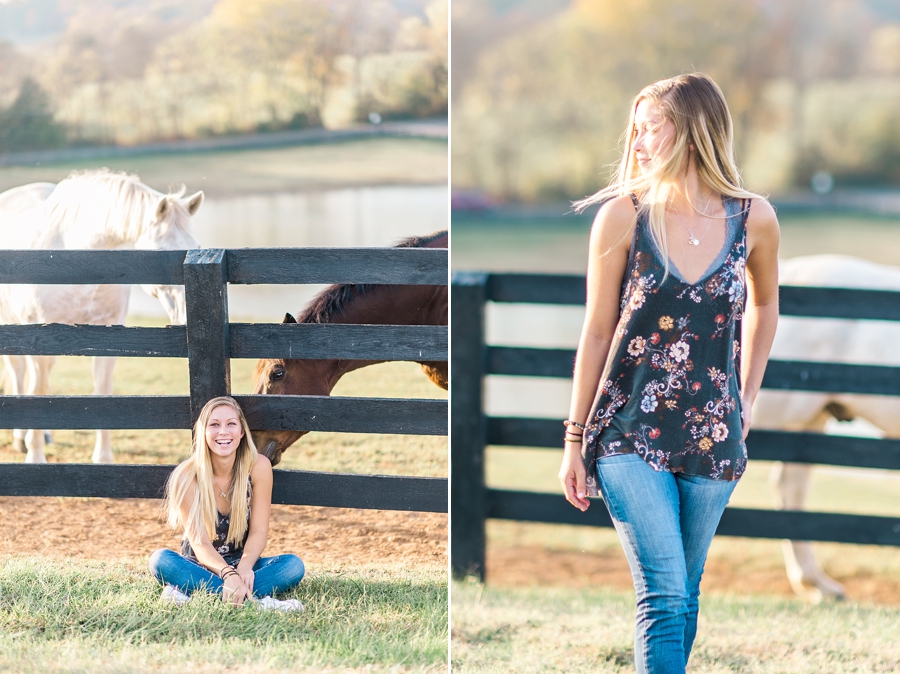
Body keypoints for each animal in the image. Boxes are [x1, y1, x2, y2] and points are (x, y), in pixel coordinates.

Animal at [0, 169, 203, 462]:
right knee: (19, 373)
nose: (187, 316)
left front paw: (103, 458)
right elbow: (37, 390)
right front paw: (36, 457)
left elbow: (102, 391)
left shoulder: (108, 335)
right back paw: (21, 438)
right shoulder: (36, 337)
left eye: (195, 245)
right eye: (162, 252)